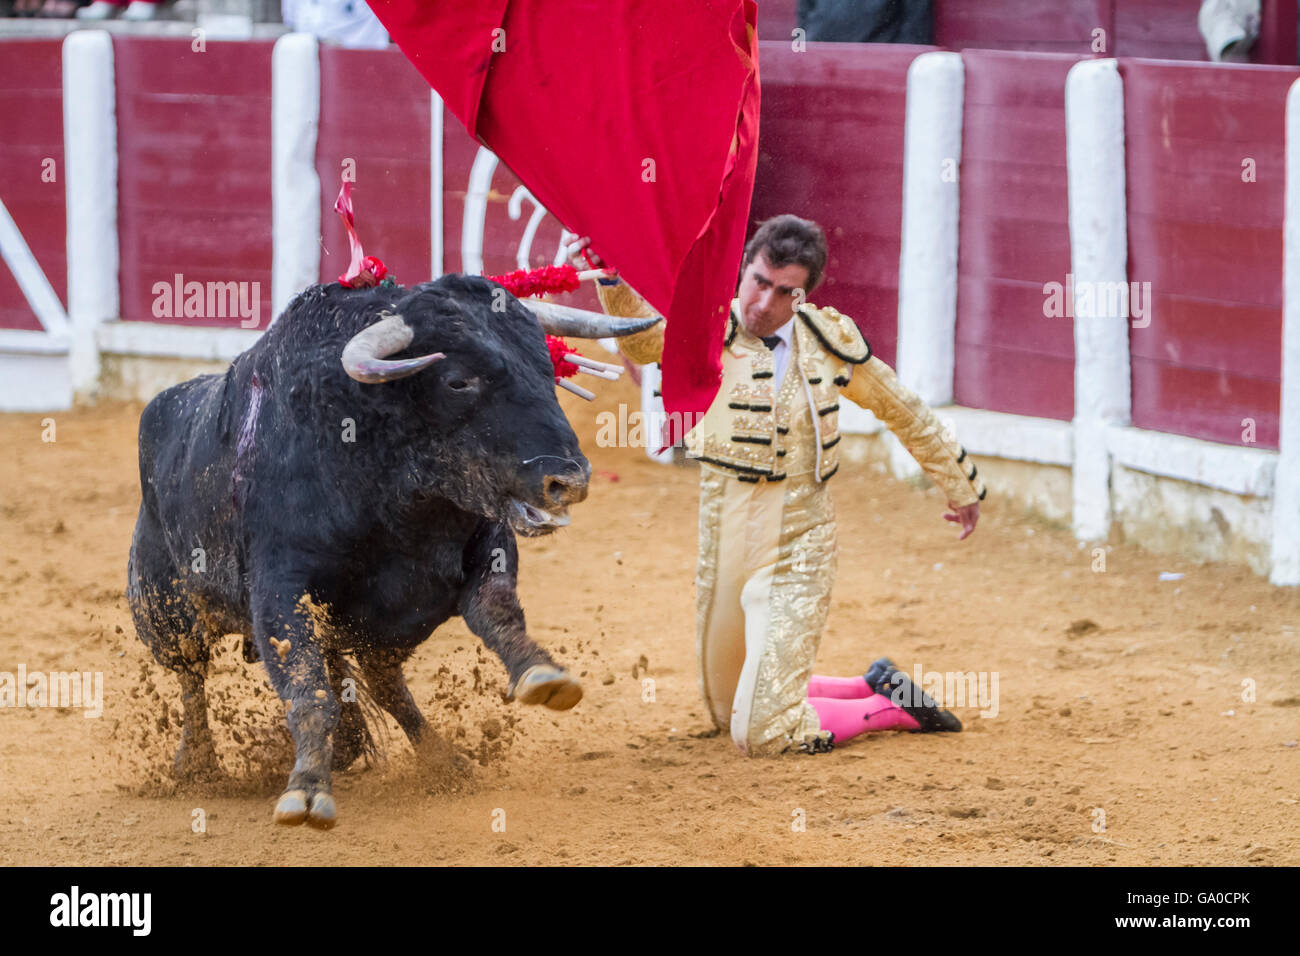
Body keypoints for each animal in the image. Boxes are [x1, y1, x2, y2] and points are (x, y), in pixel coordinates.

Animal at [126, 273, 655, 827]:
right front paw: (306, 790)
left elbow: (497, 611)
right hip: (163, 610)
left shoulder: (483, 544)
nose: (568, 480)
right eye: (457, 381)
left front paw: (542, 673)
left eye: (548, 368)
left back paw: (440, 760)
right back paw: (199, 765)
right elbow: (306, 687)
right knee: (191, 675)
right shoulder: (279, 590)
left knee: (381, 681)